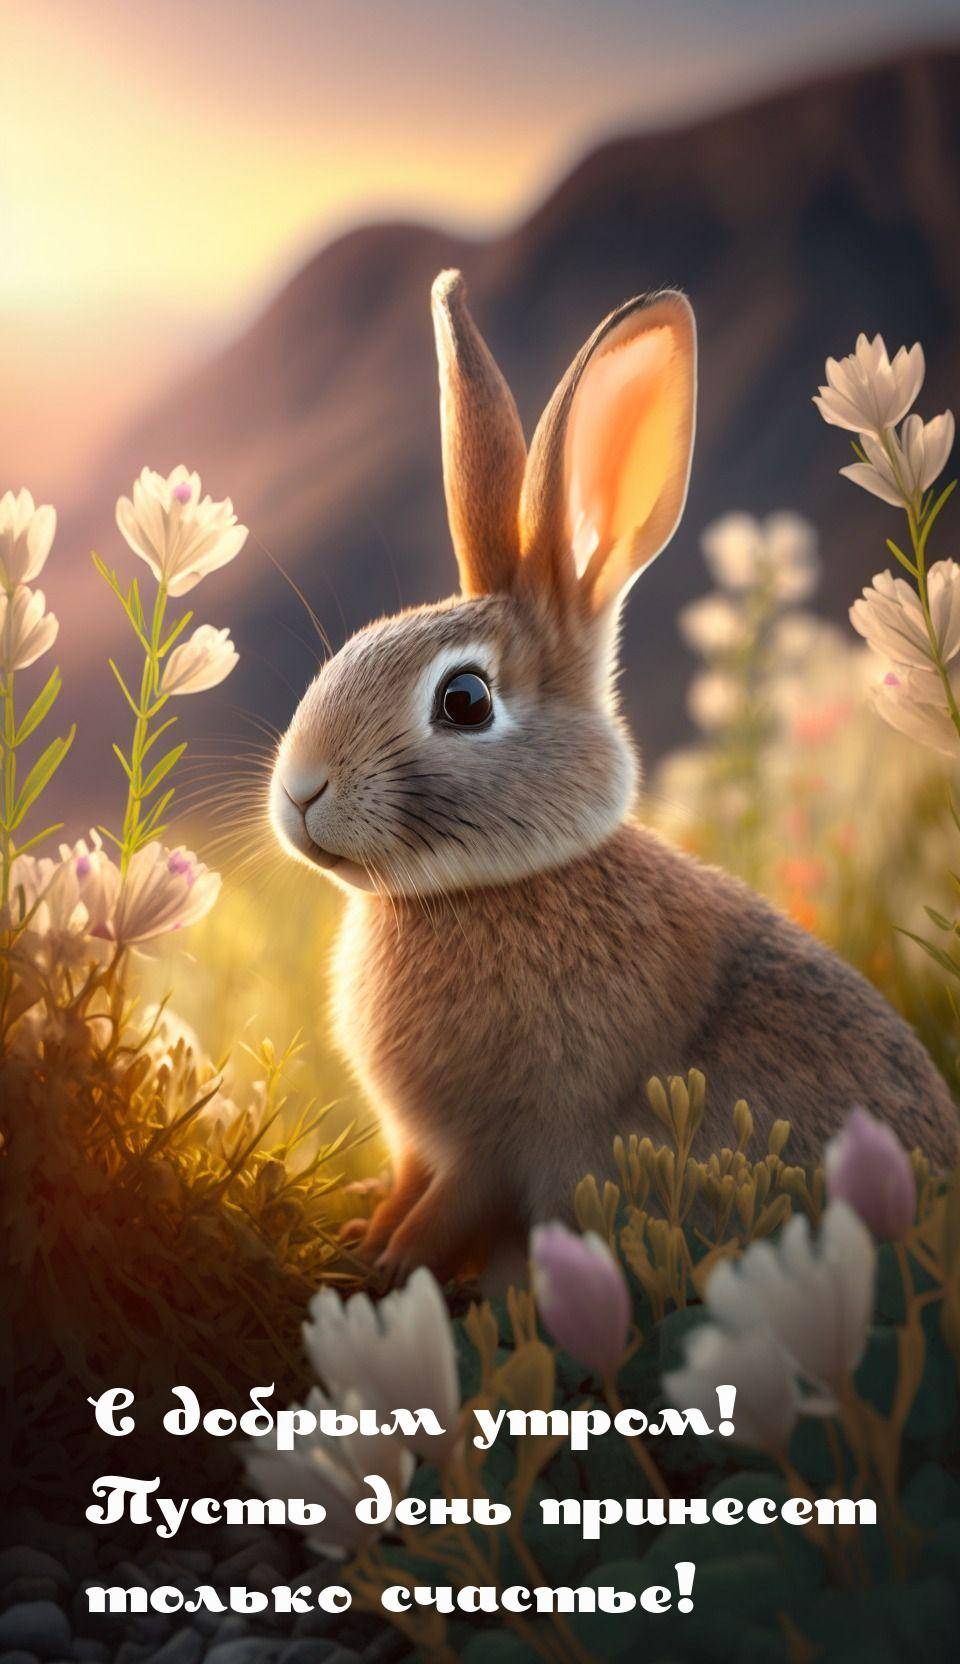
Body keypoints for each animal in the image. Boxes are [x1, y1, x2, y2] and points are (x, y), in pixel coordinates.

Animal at [270, 269, 956, 1283]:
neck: (483, 890)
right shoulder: (420, 1142)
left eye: (465, 700)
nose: (300, 792)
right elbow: (406, 1184)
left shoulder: (501, 1143)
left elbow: (449, 1207)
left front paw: (386, 1262)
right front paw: (363, 1232)